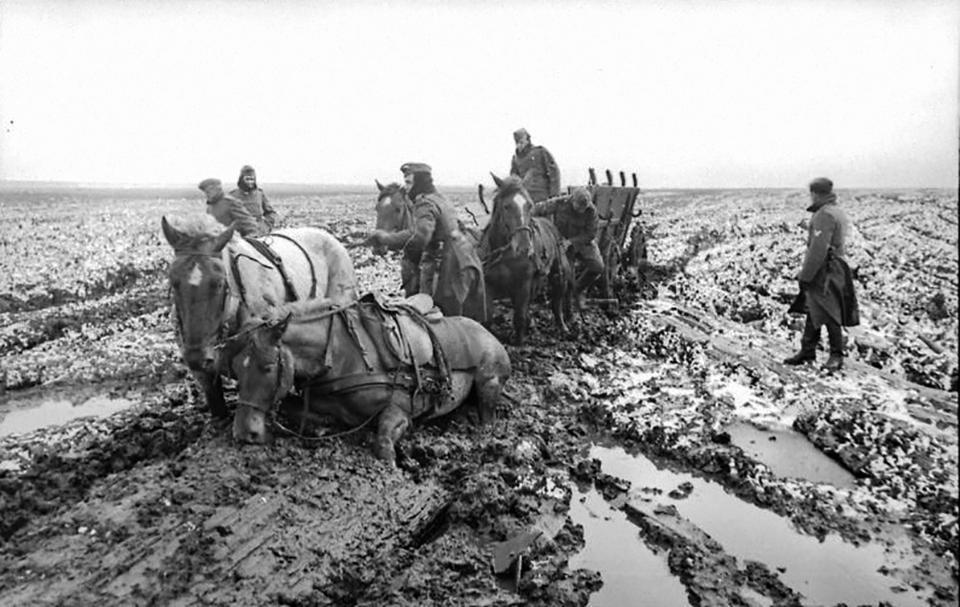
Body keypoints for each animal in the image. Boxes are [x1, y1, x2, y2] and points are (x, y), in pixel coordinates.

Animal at [224, 296, 510, 464]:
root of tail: (486, 330)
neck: (340, 355)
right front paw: (322, 426)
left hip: (489, 381)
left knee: (488, 413)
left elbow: (383, 441)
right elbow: (295, 409)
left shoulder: (401, 410)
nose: (244, 434)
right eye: (235, 370)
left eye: (267, 367)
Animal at [480, 173, 568, 344]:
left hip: (557, 274)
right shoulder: (488, 285)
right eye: (506, 206)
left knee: (557, 300)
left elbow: (519, 317)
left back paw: (562, 326)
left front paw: (520, 342)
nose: (524, 247)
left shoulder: (523, 284)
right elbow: (487, 318)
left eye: (529, 205)